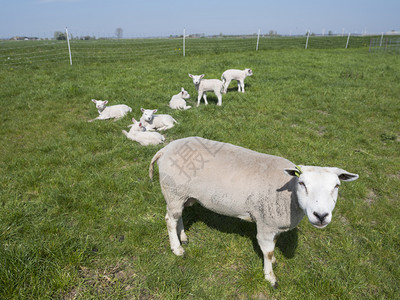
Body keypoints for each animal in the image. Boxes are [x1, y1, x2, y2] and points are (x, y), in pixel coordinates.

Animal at [149, 137, 360, 288]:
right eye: (302, 184)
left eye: (336, 186)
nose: (321, 216)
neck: (289, 196)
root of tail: (165, 149)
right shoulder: (266, 224)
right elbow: (267, 251)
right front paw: (270, 277)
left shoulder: (274, 224)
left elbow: (274, 245)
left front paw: (274, 261)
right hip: (173, 190)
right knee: (169, 220)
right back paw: (177, 248)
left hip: (181, 195)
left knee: (178, 217)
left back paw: (183, 237)